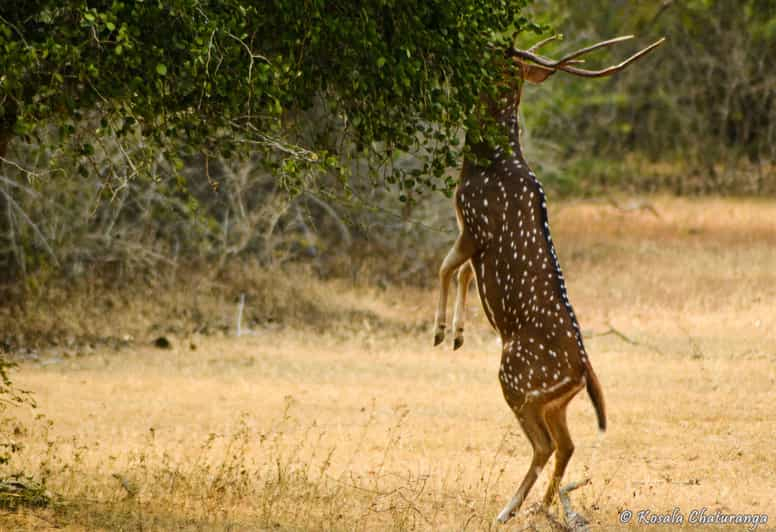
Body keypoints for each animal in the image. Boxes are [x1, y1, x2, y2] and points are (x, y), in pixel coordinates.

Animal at [434, 35, 664, 524]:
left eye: (499, 56)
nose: (479, 45)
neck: (483, 164)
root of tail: (582, 373)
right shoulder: (470, 237)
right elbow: (460, 275)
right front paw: (457, 334)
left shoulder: (473, 225)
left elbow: (447, 267)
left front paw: (442, 332)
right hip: (554, 400)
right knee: (568, 444)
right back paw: (542, 509)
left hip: (517, 381)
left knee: (543, 445)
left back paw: (508, 511)